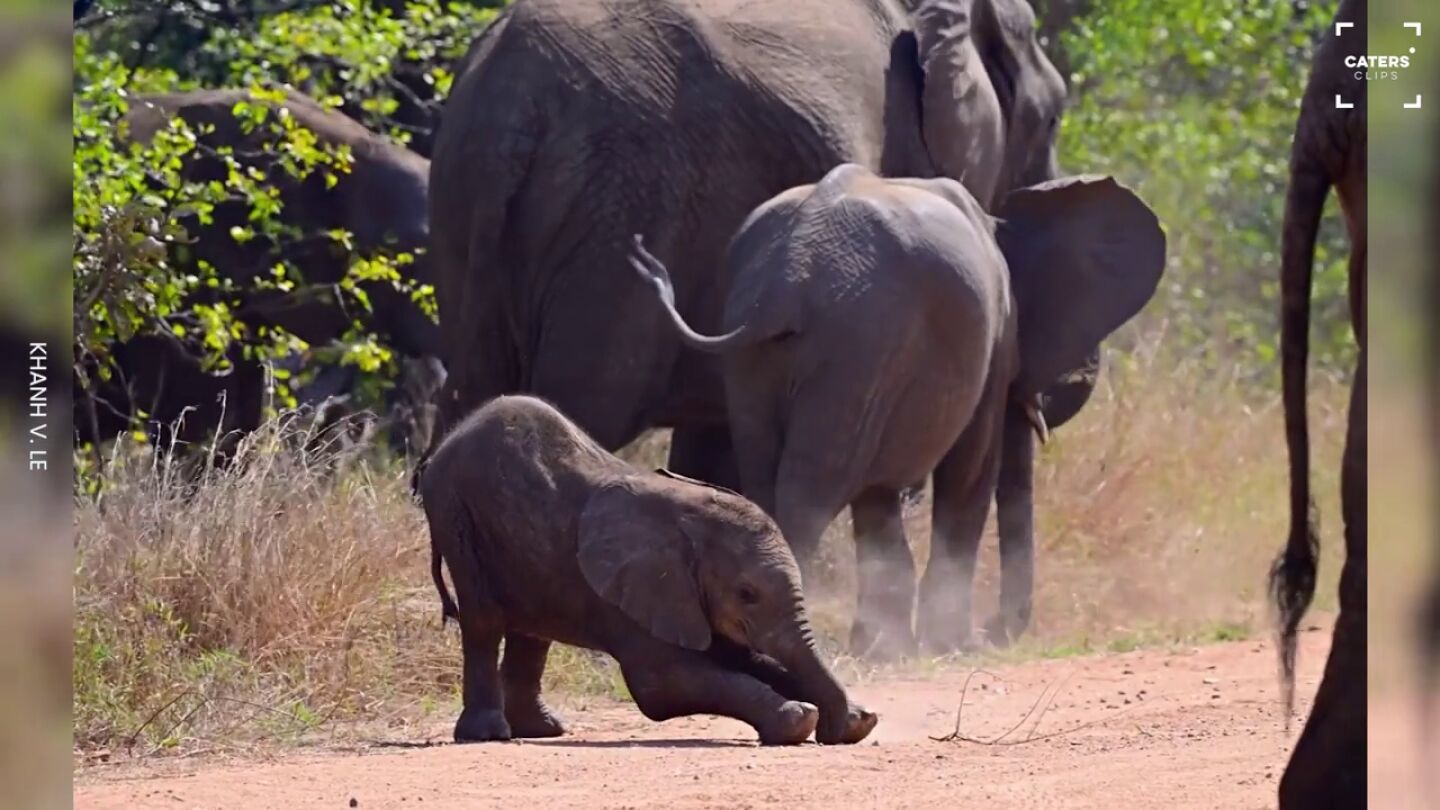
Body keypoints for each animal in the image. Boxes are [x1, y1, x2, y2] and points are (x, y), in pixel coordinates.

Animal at [416, 394, 879, 745]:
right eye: (747, 594)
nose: (843, 722)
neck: (687, 520)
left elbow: (747, 660)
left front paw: (858, 722)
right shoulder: (641, 596)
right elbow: (665, 682)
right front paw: (799, 718)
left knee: (531, 631)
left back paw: (543, 731)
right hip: (456, 512)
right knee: (484, 620)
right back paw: (489, 735)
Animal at [429, 0, 1110, 645]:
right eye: (1051, 118)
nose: (997, 633)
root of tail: (512, 105)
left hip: (475, 218)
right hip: (618, 210)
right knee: (581, 405)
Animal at [627, 164, 1163, 655]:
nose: (995, 634)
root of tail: (787, 281)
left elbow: (880, 501)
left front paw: (885, 647)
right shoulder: (989, 342)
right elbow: (971, 467)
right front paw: (947, 646)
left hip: (761, 356)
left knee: (766, 470)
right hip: (858, 339)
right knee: (813, 487)